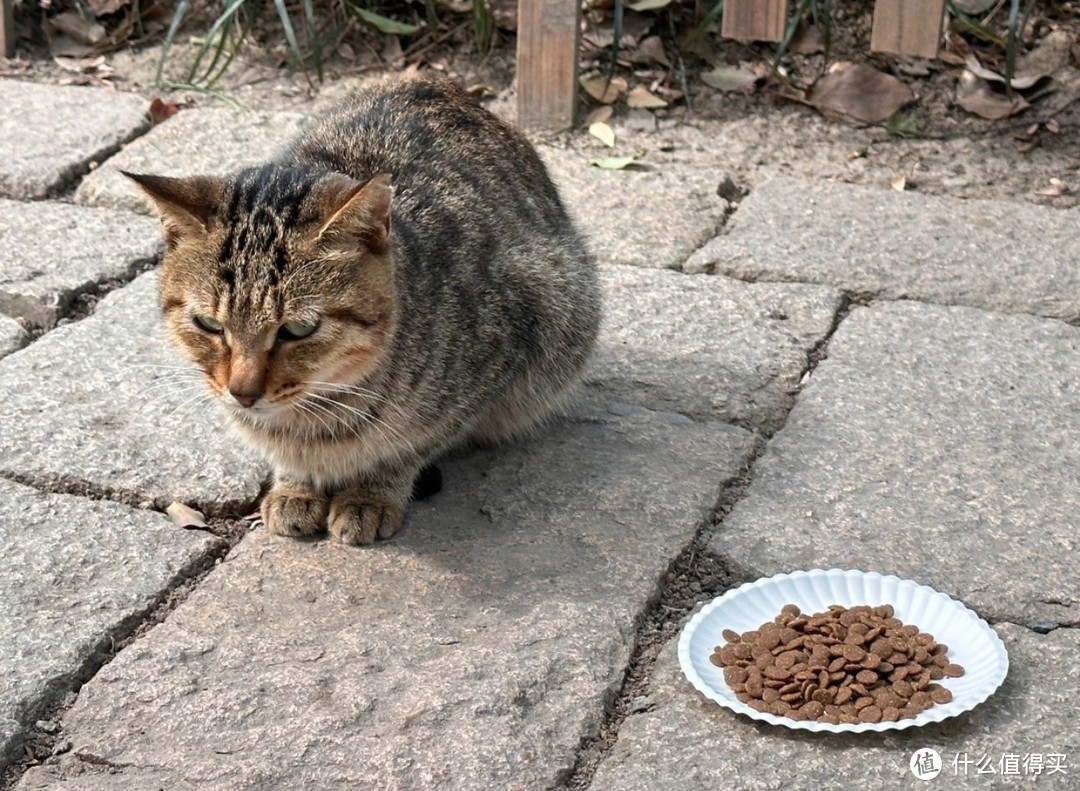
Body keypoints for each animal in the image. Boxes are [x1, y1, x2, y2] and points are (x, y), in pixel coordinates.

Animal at [128, 72, 600, 544]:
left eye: (298, 330)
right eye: (208, 323)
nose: (242, 393)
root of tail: (439, 81)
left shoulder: (506, 345)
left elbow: (407, 445)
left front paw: (370, 494)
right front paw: (295, 486)